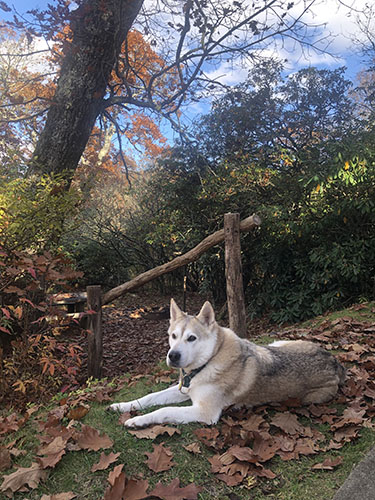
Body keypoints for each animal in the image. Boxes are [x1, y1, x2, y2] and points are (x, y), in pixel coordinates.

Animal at [109, 298, 346, 428]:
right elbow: (149, 397)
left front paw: (138, 421)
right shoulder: (183, 389)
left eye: (191, 338)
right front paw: (123, 406)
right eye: (173, 336)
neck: (208, 361)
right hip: (277, 344)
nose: (173, 356)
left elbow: (163, 410)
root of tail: (335, 362)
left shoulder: (205, 413)